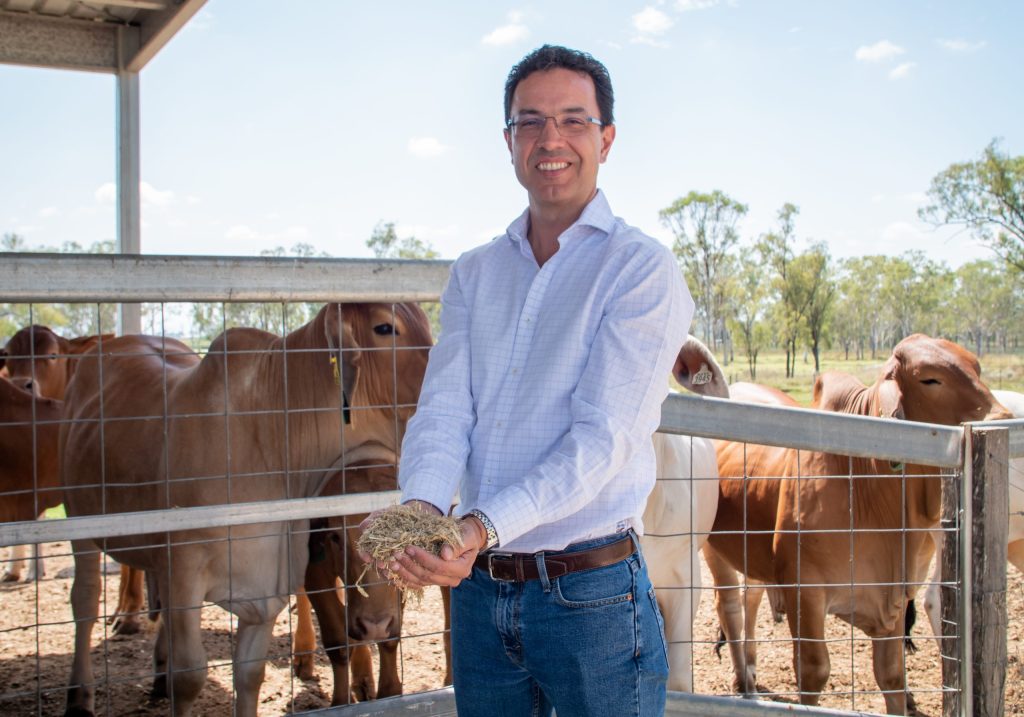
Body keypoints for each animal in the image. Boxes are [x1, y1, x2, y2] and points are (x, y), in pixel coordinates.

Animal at [60, 303, 428, 717]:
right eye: (385, 328)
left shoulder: (268, 586)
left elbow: (250, 674)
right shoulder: (183, 573)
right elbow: (190, 676)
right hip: (79, 519)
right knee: (85, 600)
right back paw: (80, 694)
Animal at [704, 333, 1007, 712]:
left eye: (976, 367)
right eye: (930, 379)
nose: (1004, 415)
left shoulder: (894, 598)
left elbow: (892, 676)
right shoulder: (805, 590)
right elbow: (814, 671)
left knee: (750, 599)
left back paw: (750, 670)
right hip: (713, 548)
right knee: (730, 605)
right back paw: (745, 683)